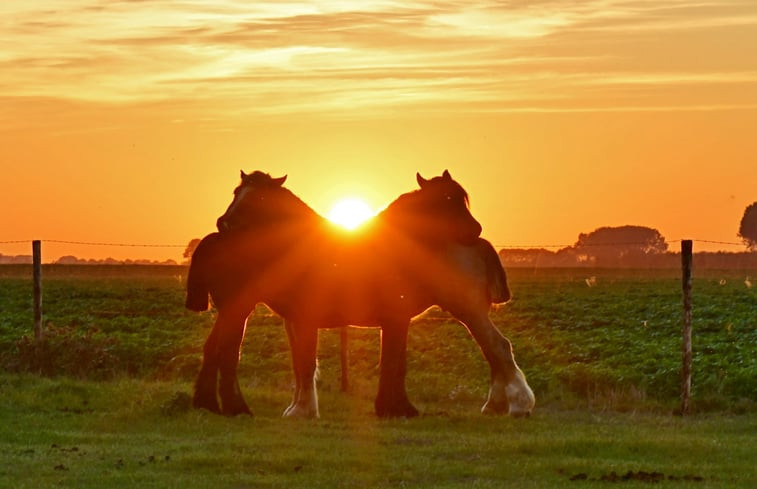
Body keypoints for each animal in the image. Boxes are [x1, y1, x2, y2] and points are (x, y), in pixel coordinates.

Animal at [186, 170, 536, 418]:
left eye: (256, 198)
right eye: (237, 192)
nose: (222, 223)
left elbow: (321, 362)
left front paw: (306, 410)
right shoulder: (298, 318)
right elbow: (303, 362)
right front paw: (300, 408)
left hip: (468, 309)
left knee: (498, 347)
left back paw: (518, 404)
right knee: (493, 351)